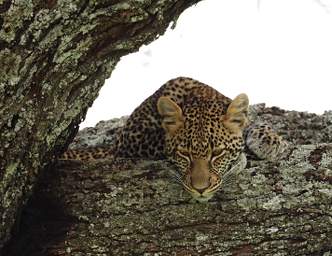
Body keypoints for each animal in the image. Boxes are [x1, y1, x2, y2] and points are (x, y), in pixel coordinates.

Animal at [61, 77, 288, 203]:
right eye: (184, 154)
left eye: (217, 153)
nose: (200, 189)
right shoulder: (130, 142)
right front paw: (242, 157)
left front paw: (269, 139)